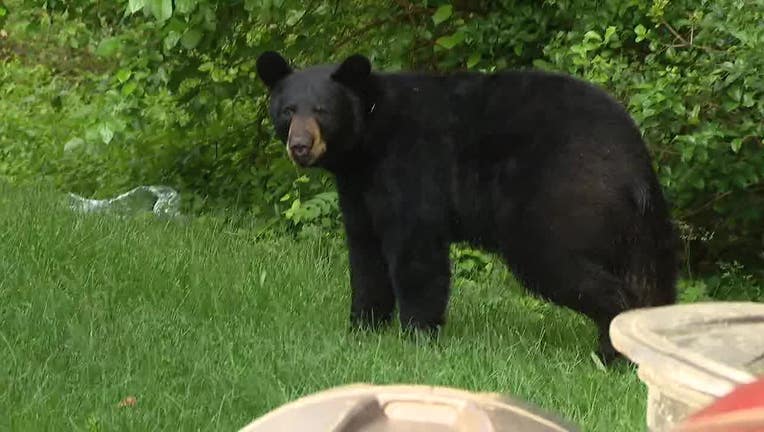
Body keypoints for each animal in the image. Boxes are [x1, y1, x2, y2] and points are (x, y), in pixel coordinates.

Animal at [258, 49, 680, 362]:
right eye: (288, 110)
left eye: (322, 111)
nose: (300, 145)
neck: (366, 145)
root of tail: (636, 158)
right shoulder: (359, 193)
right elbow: (365, 259)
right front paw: (362, 329)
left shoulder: (410, 164)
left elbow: (417, 254)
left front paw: (417, 337)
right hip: (640, 228)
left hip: (560, 197)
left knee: (564, 266)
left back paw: (610, 354)